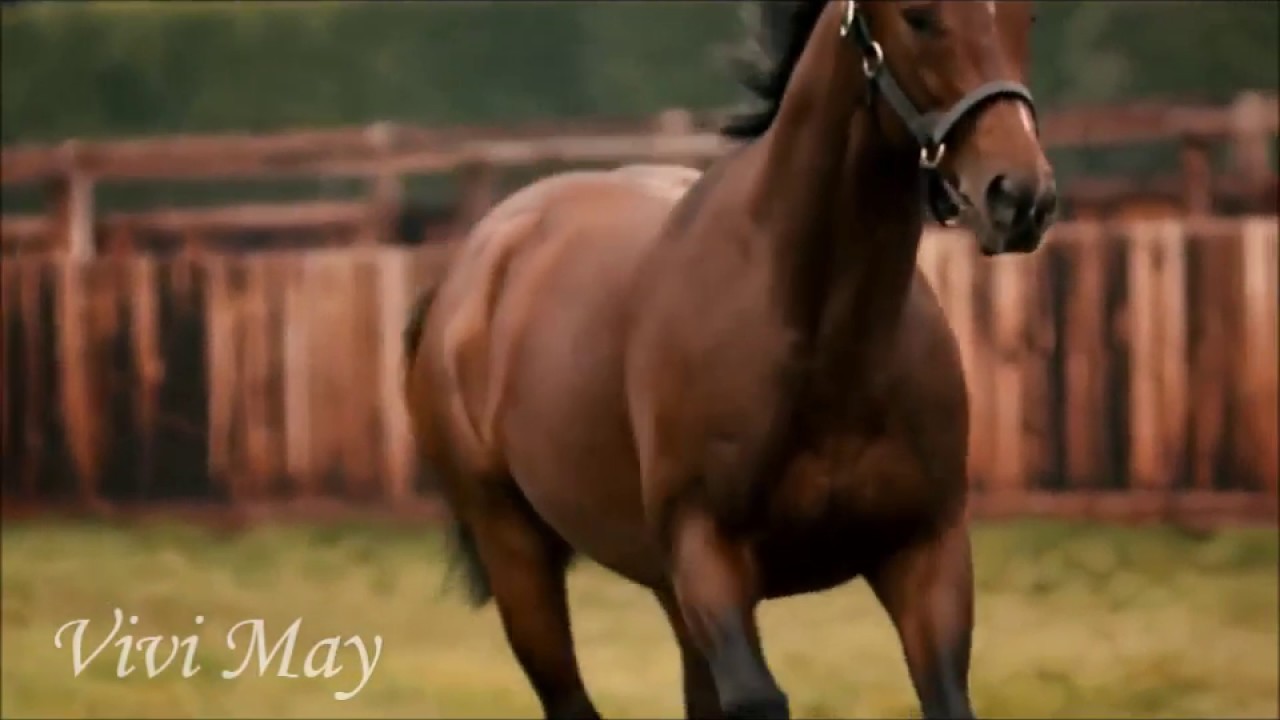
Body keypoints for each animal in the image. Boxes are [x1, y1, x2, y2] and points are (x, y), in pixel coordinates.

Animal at [403, 1, 1056, 717]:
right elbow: (758, 699)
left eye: (1026, 15)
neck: (824, 346)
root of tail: (473, 263)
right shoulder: (709, 554)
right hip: (519, 555)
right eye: (918, 16)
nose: (1019, 197)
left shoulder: (924, 550)